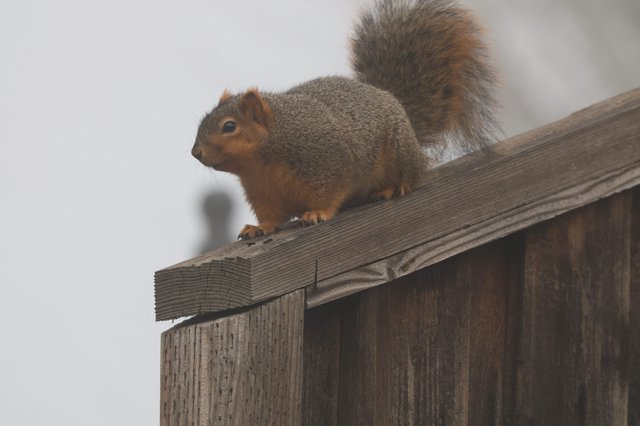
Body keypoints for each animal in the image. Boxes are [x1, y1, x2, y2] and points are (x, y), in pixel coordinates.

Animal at [191, 0, 499, 240]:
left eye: (229, 126)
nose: (196, 153)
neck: (265, 158)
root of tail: (399, 108)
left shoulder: (329, 163)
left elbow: (330, 194)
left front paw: (316, 213)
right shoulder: (263, 192)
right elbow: (272, 216)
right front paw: (258, 228)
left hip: (399, 152)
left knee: (413, 175)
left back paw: (392, 188)